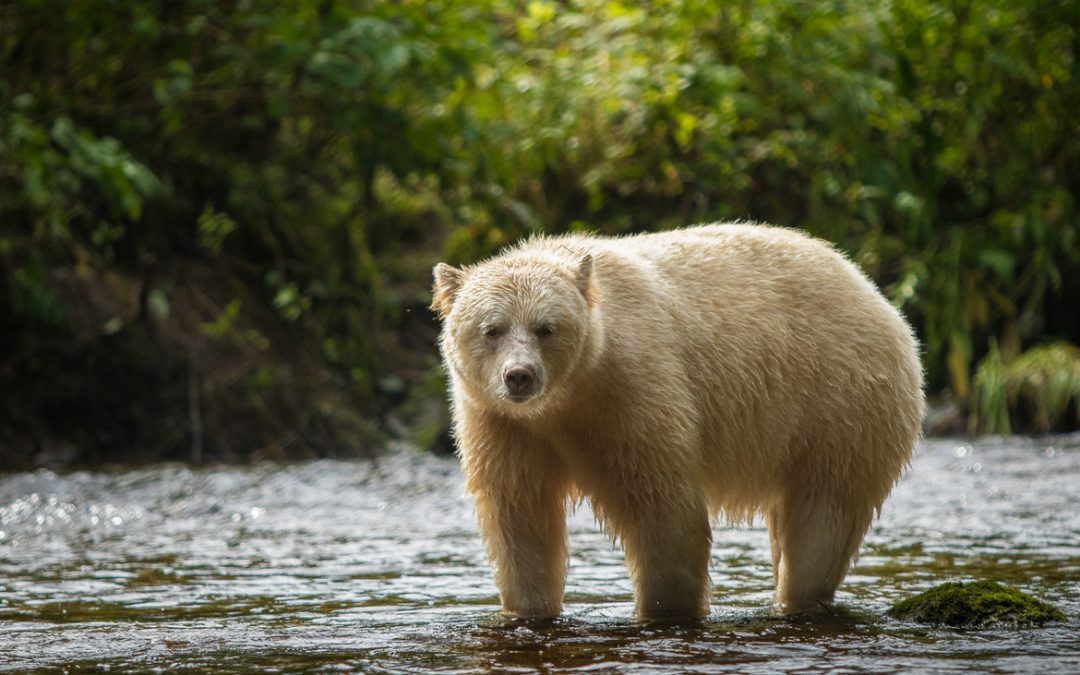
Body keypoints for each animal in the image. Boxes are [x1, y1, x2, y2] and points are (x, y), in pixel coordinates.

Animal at [431, 223, 924, 619]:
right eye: (491, 328)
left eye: (545, 327)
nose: (519, 376)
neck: (568, 399)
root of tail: (874, 292)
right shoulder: (501, 423)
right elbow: (520, 517)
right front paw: (527, 607)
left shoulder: (632, 391)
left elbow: (661, 507)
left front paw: (665, 607)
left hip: (840, 404)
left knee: (823, 518)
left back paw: (798, 597)